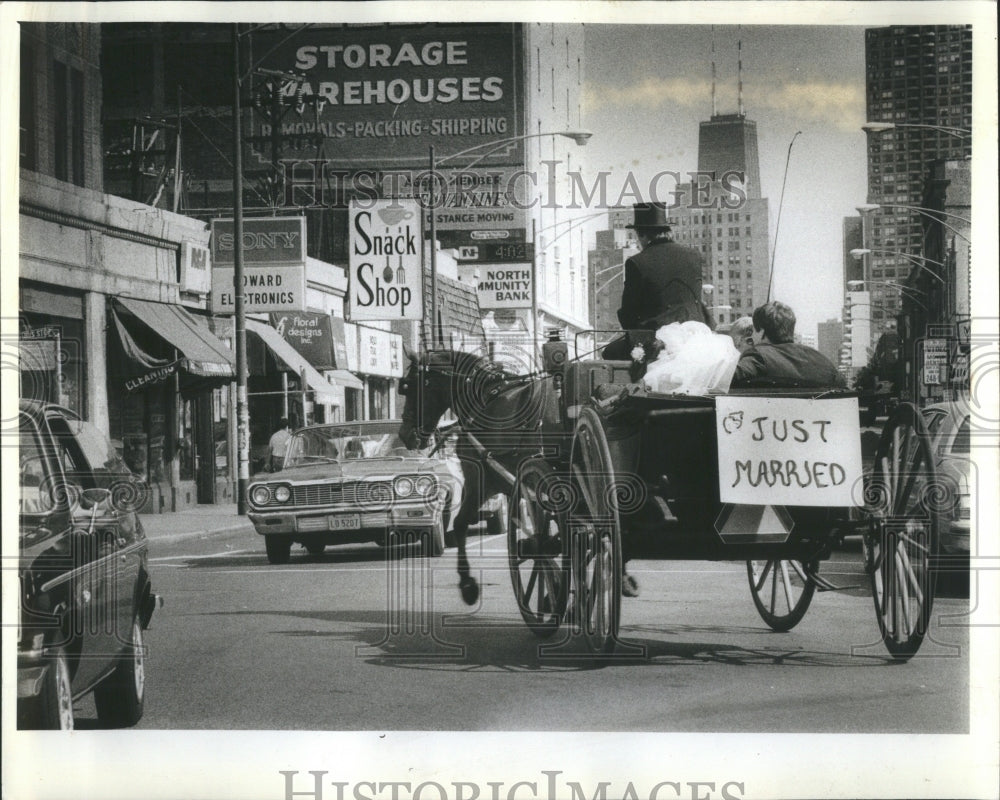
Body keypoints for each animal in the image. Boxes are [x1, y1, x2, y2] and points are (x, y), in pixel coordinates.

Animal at [396, 346, 564, 604]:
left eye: (410, 385)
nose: (404, 434)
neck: (483, 399)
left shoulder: (481, 482)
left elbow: (460, 523)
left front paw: (468, 584)